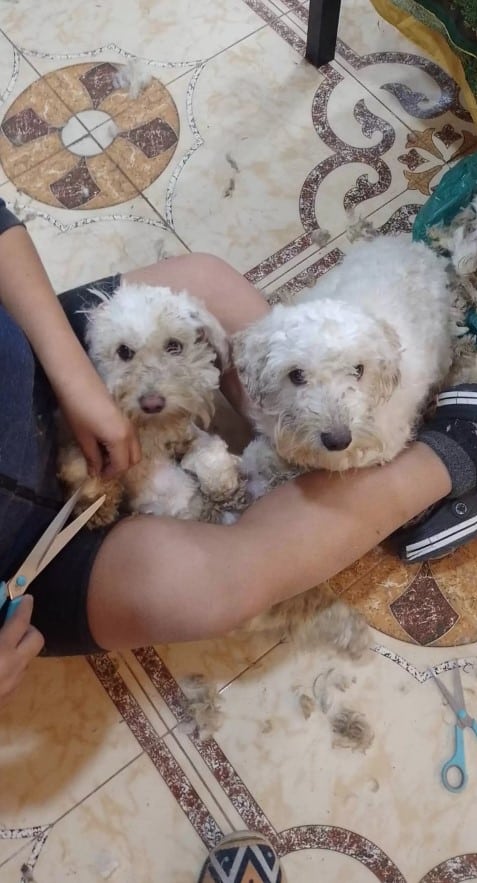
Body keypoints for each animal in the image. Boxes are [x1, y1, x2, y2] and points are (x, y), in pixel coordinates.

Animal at [57, 284, 240, 524]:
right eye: (124, 351)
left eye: (174, 346)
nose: (152, 404)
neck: (153, 433)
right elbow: (78, 466)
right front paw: (96, 499)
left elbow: (208, 451)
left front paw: (220, 482)